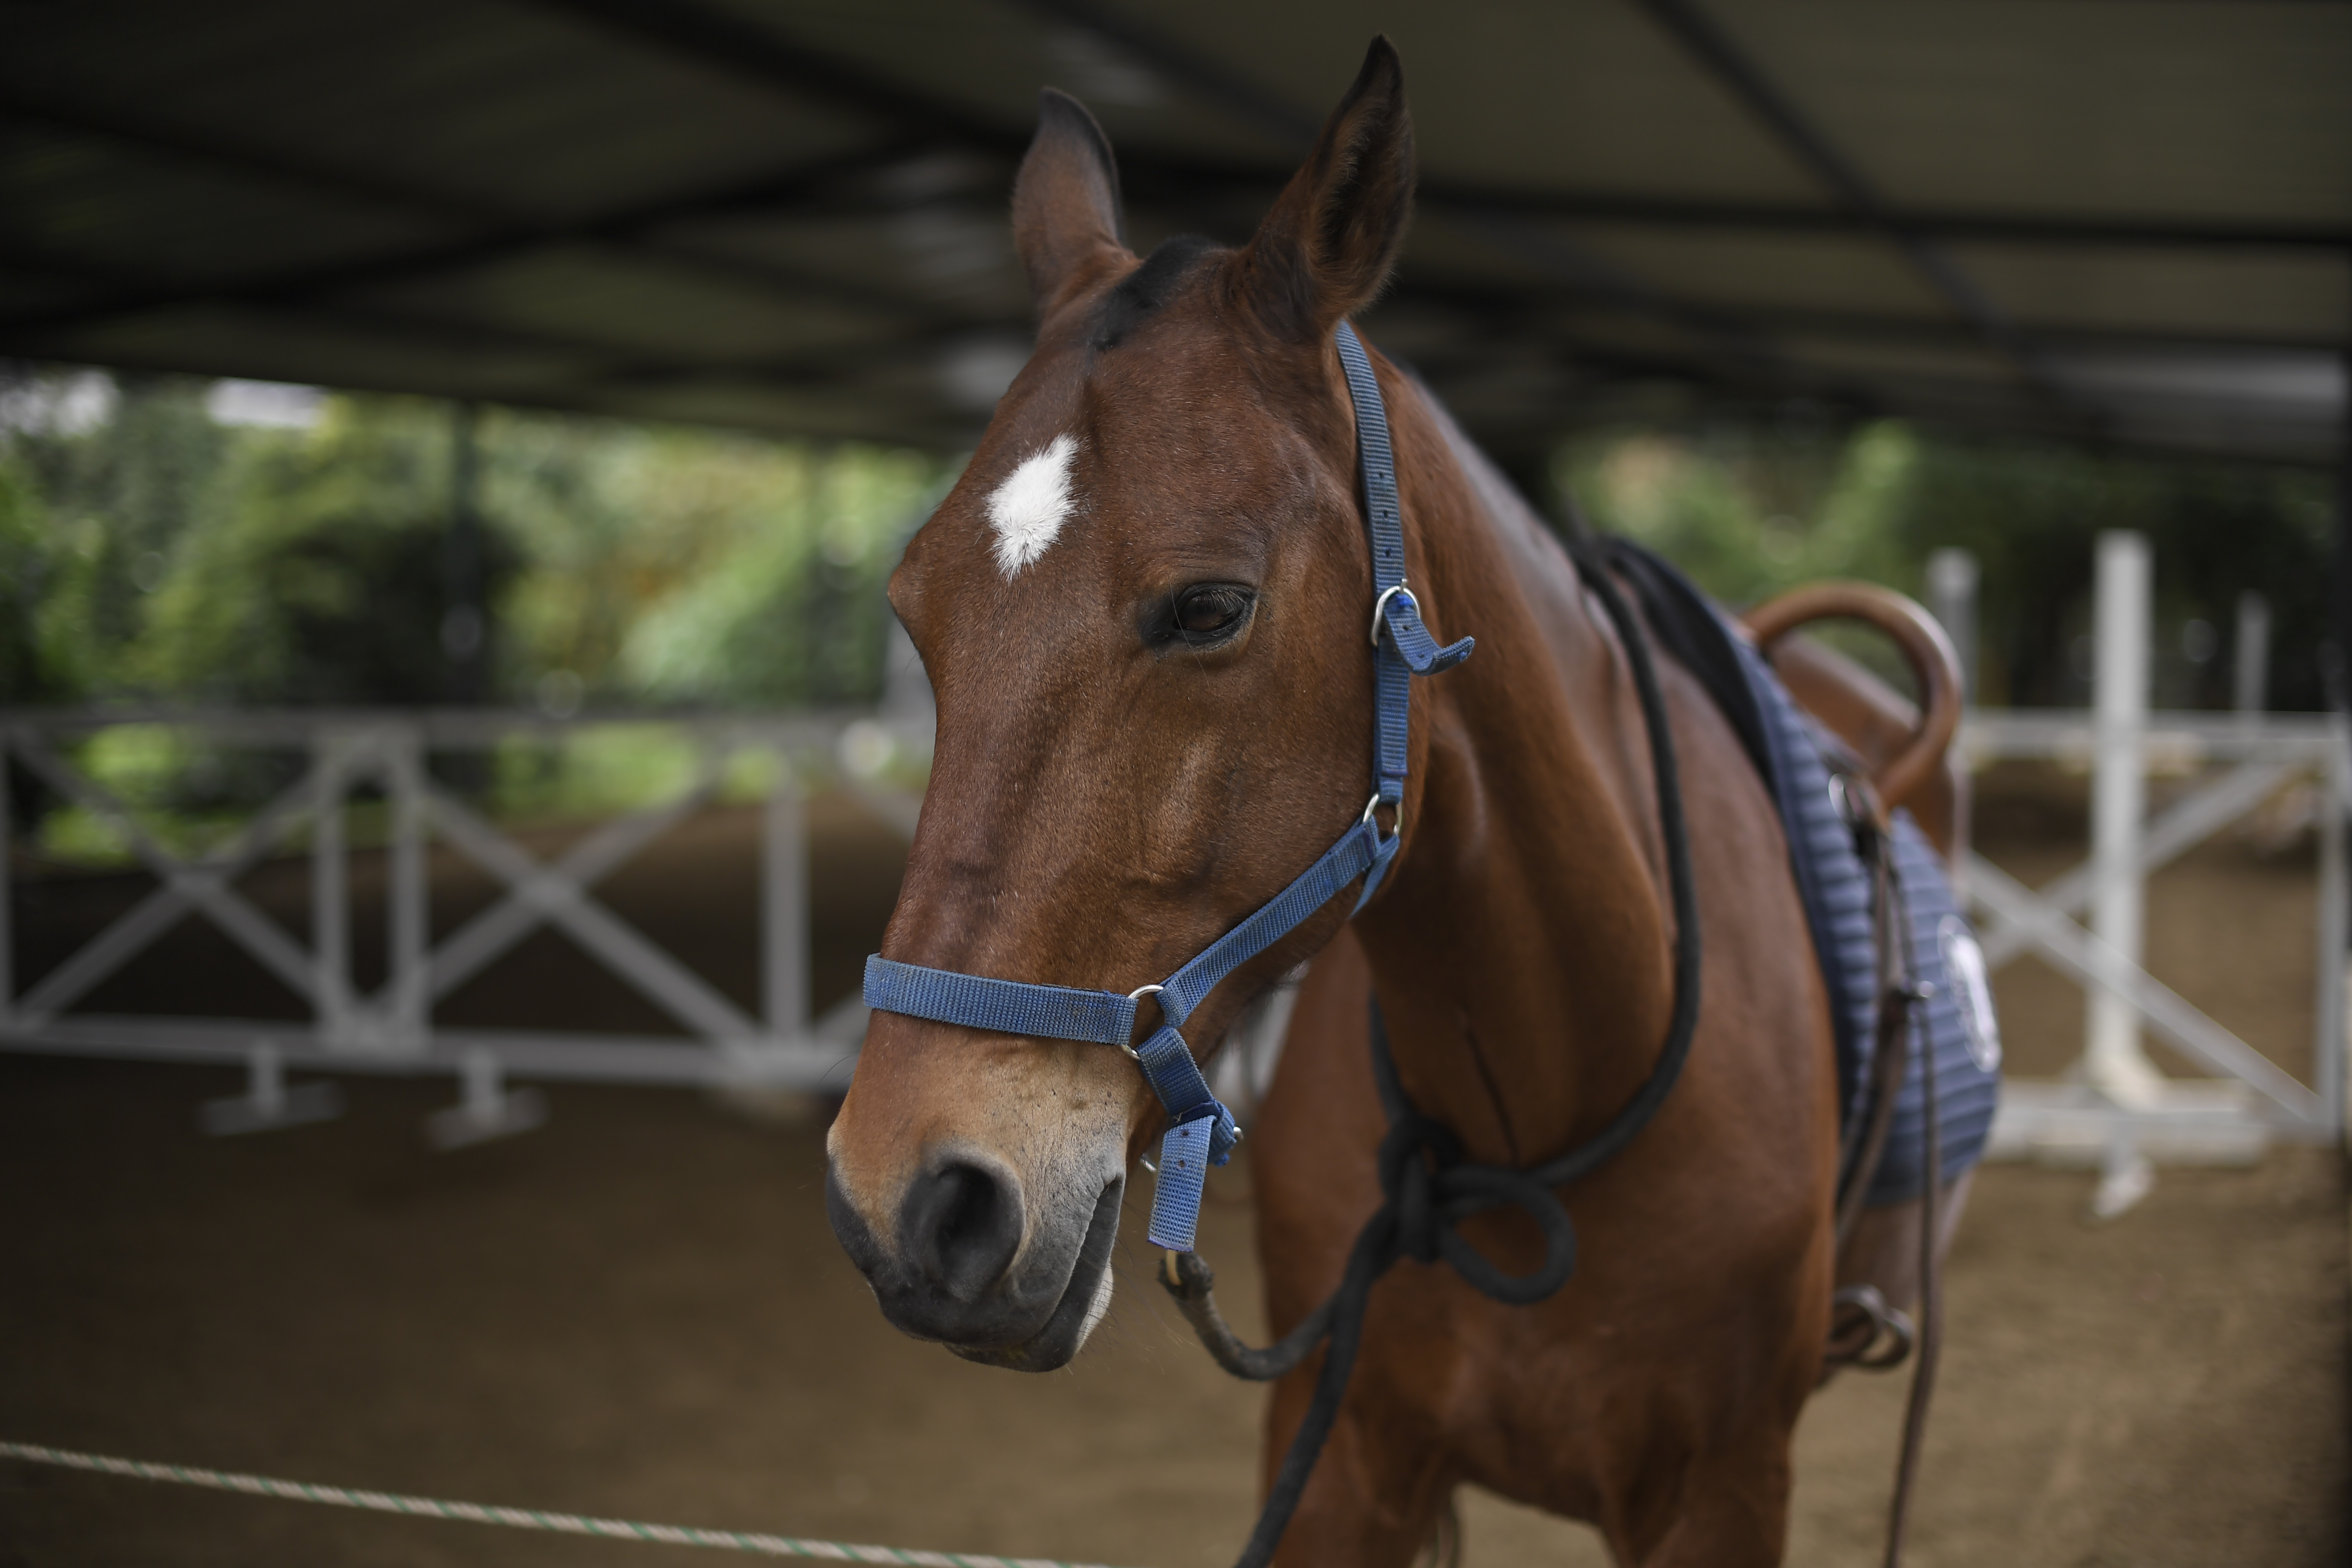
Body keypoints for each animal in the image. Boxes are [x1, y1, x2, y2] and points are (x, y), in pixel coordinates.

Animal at [824, 38, 1968, 1566]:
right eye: (914, 609)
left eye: (1209, 607)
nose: (910, 1202)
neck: (1537, 1114)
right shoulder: (1342, 1455)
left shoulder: (1722, 1490)